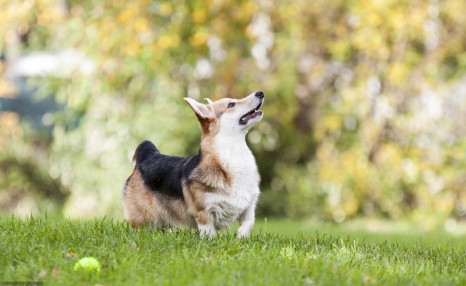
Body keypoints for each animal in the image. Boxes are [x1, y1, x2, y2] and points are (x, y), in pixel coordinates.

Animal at [122, 91, 264, 237]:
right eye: (231, 104)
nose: (260, 93)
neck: (234, 152)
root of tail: (147, 156)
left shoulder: (249, 206)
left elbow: (249, 222)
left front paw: (241, 236)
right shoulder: (204, 212)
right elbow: (209, 232)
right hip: (144, 217)